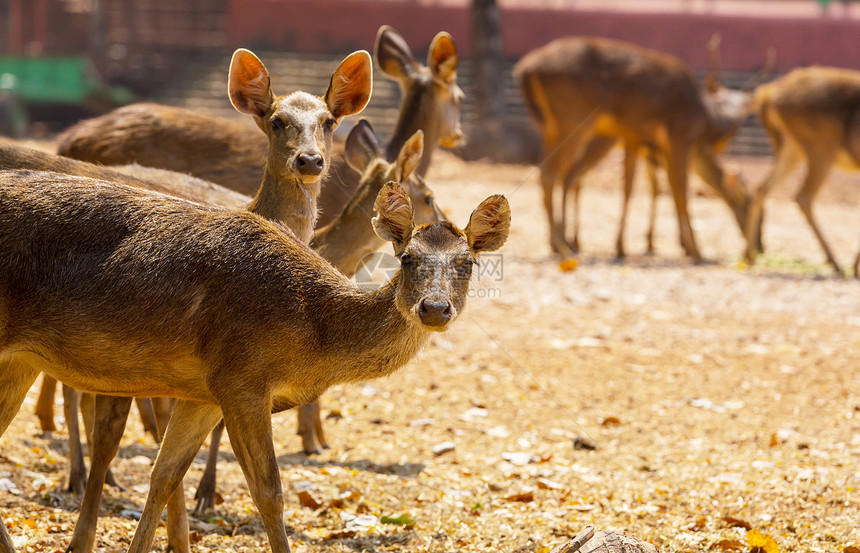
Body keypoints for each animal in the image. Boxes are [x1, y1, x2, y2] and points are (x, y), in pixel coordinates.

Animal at [0, 169, 510, 552]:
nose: (435, 309)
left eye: (467, 263)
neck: (312, 337)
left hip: (20, 361)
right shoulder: (242, 377)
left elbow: (162, 477)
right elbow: (270, 493)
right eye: (406, 258)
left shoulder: (203, 393)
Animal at [512, 36, 764, 260]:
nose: (759, 246)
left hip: (552, 127)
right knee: (554, 174)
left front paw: (627, 245)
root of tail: (525, 69)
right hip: (574, 119)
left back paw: (562, 242)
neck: (701, 119)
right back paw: (562, 245)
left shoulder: (638, 140)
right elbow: (678, 191)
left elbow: (640, 188)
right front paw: (694, 249)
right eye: (755, 211)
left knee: (559, 174)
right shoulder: (676, 138)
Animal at [744, 67, 860, 276]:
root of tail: (769, 93)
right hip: (820, 149)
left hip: (791, 147)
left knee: (761, 188)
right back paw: (835, 263)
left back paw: (750, 257)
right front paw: (855, 267)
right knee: (803, 196)